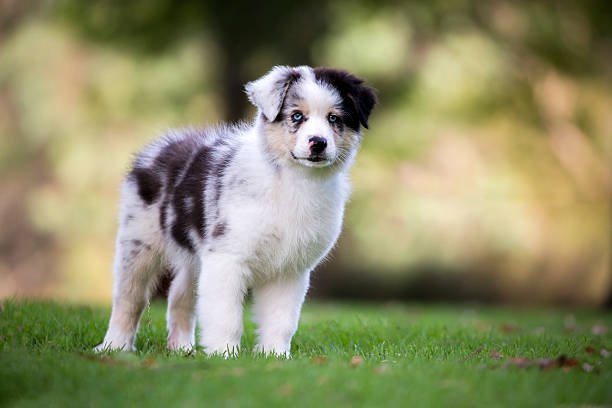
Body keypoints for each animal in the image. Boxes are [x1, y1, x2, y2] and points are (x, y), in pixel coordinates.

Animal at [94, 65, 376, 356]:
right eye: (297, 116)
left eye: (334, 118)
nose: (318, 142)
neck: (293, 181)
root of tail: (160, 146)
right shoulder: (227, 256)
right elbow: (225, 314)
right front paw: (224, 354)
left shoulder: (290, 269)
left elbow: (281, 319)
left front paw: (275, 355)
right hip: (138, 243)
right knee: (129, 299)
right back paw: (114, 346)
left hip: (192, 258)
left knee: (180, 297)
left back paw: (182, 348)